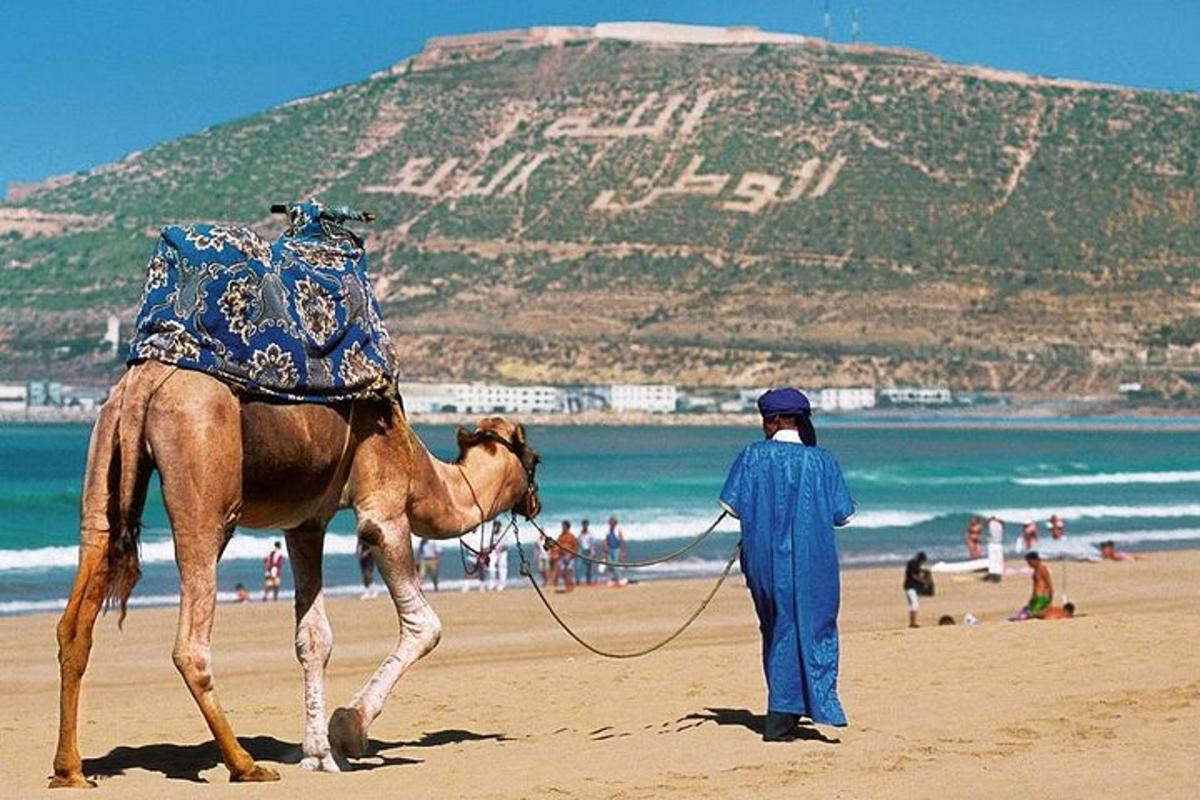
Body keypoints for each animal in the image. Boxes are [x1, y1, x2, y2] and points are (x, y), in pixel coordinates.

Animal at [49, 362, 542, 786]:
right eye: (534, 459)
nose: (535, 502)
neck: (422, 472)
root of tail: (143, 384)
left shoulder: (306, 525)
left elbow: (314, 639)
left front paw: (319, 754)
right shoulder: (383, 511)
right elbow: (425, 625)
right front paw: (348, 729)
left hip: (105, 457)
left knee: (77, 617)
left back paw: (70, 770)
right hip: (202, 477)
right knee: (191, 641)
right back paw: (244, 765)